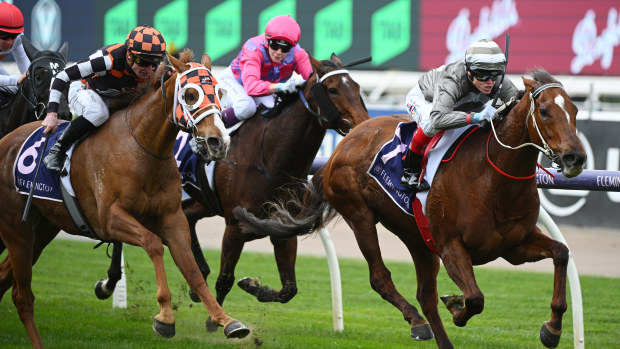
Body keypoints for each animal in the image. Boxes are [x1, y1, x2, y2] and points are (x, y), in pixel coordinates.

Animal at [0, 49, 249, 348]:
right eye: (190, 94)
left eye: (220, 93)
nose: (218, 141)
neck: (142, 148)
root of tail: (5, 141)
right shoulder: (110, 219)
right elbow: (153, 244)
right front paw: (165, 316)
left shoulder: (172, 218)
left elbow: (192, 270)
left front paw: (226, 320)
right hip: (17, 229)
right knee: (22, 295)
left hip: (43, 228)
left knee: (6, 279)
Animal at [94, 53, 370, 316]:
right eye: (333, 89)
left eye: (357, 87)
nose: (364, 123)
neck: (270, 158)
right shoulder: (235, 227)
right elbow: (225, 280)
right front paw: (216, 322)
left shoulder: (283, 228)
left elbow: (289, 289)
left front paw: (252, 286)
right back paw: (108, 283)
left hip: (200, 201)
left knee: (186, 219)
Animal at [234, 68, 588, 348]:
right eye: (545, 111)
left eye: (574, 110)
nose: (575, 157)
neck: (492, 178)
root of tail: (344, 143)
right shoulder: (451, 247)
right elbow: (475, 298)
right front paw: (457, 305)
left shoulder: (514, 245)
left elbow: (561, 253)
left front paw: (552, 330)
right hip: (360, 214)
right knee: (381, 278)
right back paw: (418, 323)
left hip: (417, 237)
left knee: (425, 296)